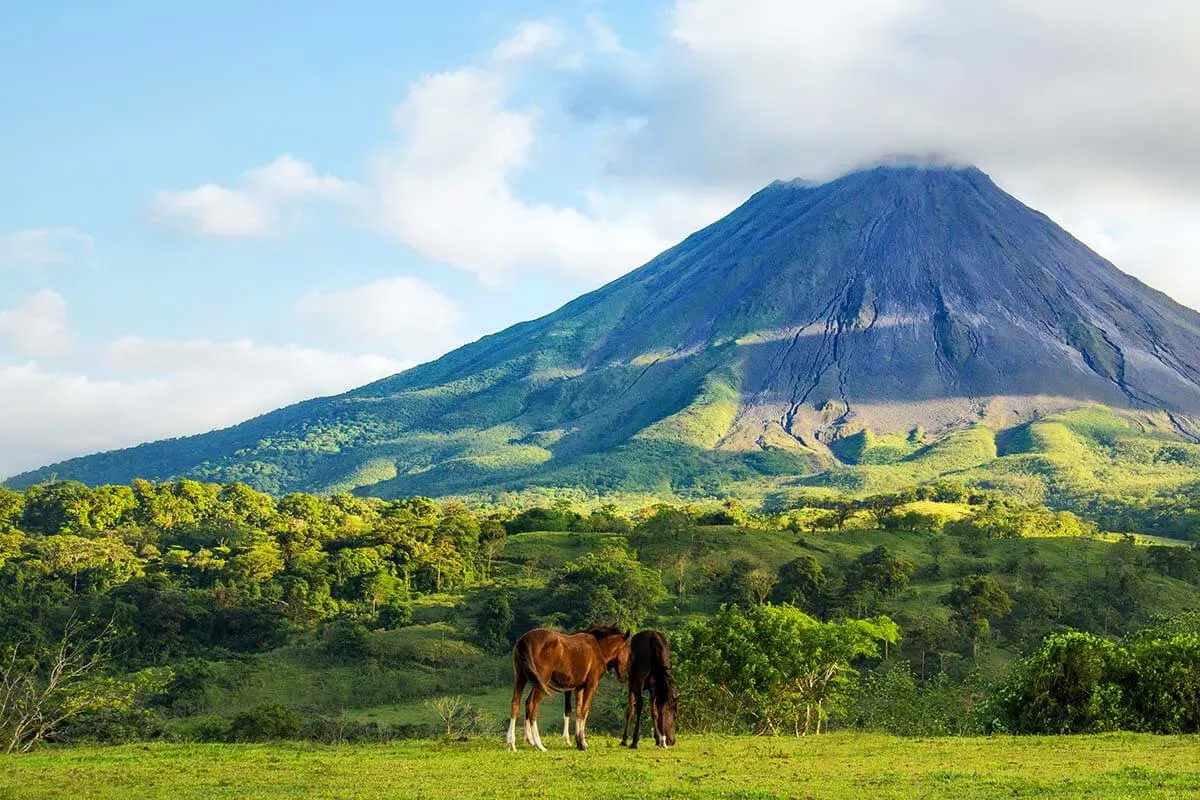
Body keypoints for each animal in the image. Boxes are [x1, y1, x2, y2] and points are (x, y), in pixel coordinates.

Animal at [504, 623, 633, 753]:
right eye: (628, 652)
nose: (625, 677)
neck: (598, 648)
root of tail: (524, 640)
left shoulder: (579, 687)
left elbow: (578, 711)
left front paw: (579, 741)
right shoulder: (591, 684)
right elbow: (584, 710)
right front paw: (581, 743)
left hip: (522, 677)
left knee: (516, 703)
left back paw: (512, 743)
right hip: (542, 680)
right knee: (532, 705)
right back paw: (539, 744)